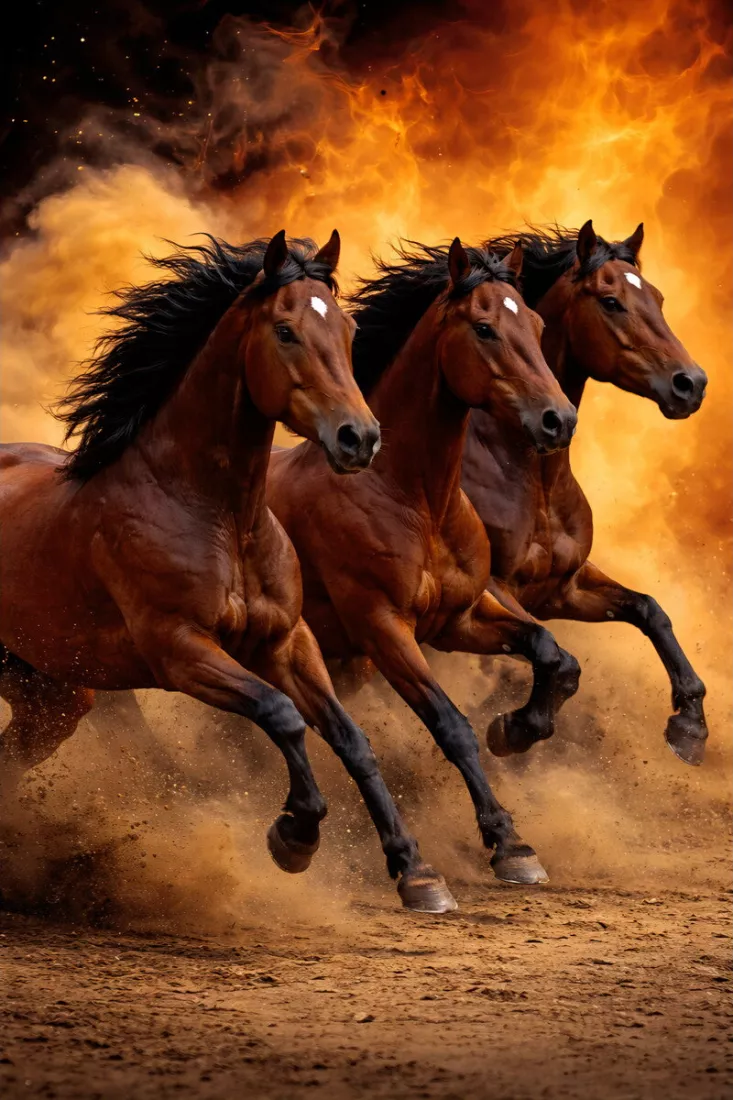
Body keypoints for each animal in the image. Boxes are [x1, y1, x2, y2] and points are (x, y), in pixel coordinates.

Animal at [0, 230, 452, 914]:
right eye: (286, 331)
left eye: (347, 328)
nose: (360, 438)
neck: (218, 515)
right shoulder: (179, 651)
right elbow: (280, 714)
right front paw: (295, 836)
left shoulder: (287, 640)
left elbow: (350, 737)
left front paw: (417, 873)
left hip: (53, 693)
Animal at [267, 237, 579, 887]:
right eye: (485, 328)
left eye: (537, 324)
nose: (558, 419)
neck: (414, 497)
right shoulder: (385, 630)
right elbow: (451, 725)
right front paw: (508, 844)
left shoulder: (458, 619)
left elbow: (551, 653)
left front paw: (517, 729)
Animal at [462, 221, 708, 765]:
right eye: (611, 302)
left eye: (657, 298)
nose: (692, 384)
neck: (532, 480)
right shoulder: (492, 588)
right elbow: (557, 657)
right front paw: (515, 727)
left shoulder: (563, 588)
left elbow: (649, 610)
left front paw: (690, 724)